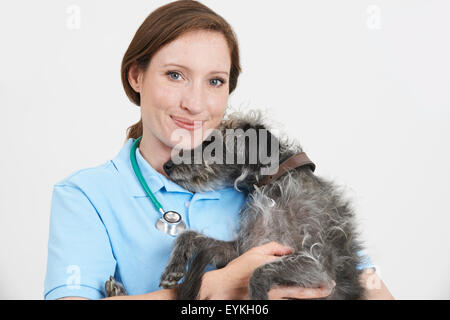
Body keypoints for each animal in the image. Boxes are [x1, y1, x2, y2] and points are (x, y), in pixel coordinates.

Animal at [104, 109, 366, 298]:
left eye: (209, 142)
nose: (167, 166)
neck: (270, 189)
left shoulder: (319, 268)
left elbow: (259, 271)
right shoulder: (242, 251)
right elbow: (189, 235)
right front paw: (174, 267)